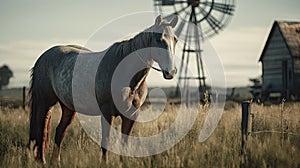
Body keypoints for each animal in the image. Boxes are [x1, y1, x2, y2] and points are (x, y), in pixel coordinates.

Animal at [28, 15, 178, 163]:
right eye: (159, 39)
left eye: (175, 40)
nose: (171, 71)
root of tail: (43, 57)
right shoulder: (107, 112)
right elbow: (106, 141)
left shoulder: (131, 115)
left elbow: (125, 143)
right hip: (44, 102)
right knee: (42, 131)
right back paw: (42, 160)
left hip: (68, 107)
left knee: (60, 132)